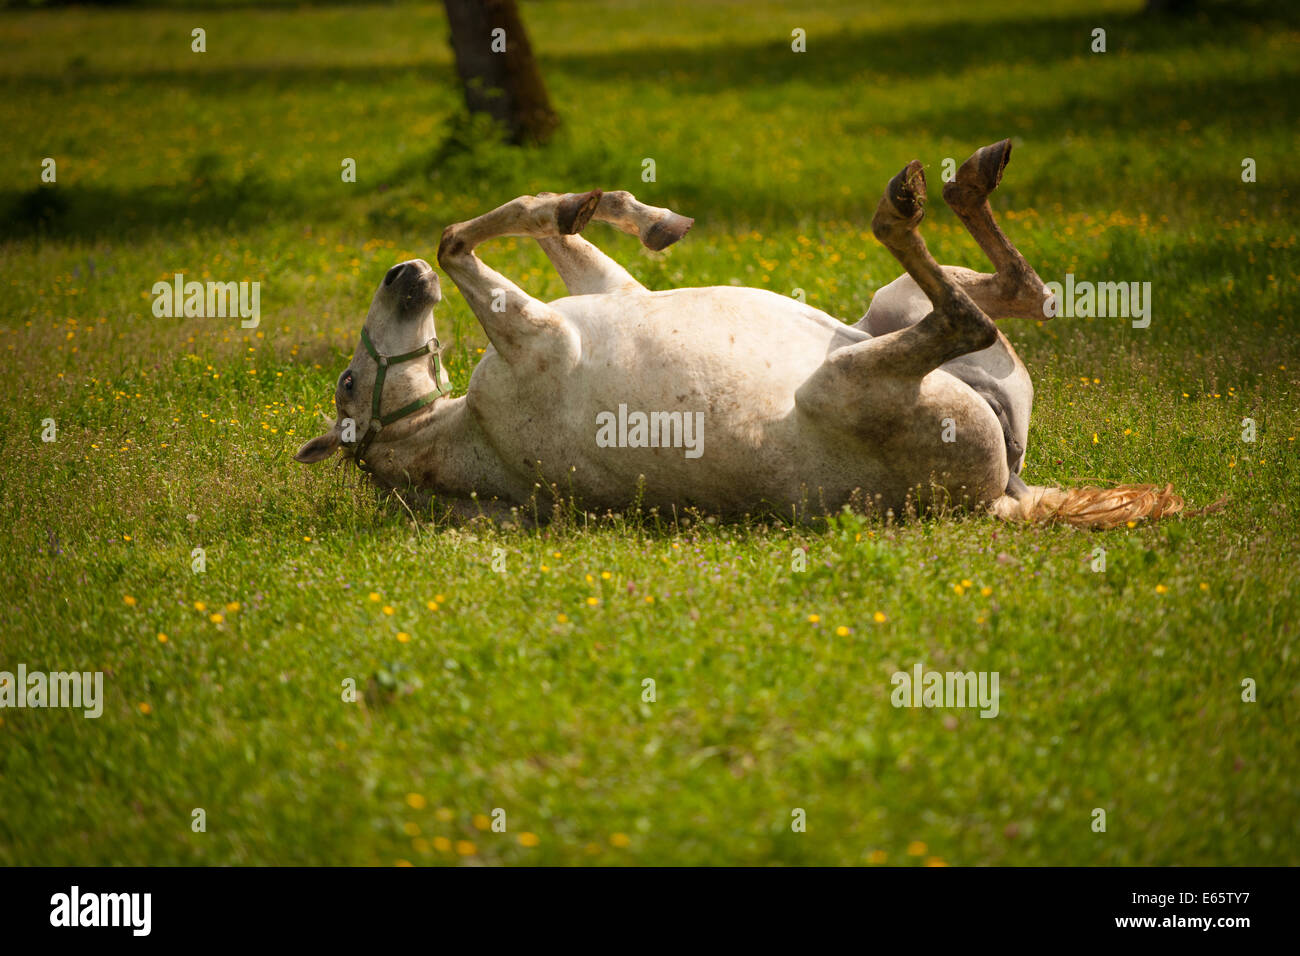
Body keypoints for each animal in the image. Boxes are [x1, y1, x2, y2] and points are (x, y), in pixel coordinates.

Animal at [297, 143, 1190, 530]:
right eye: (349, 383)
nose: (400, 275)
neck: (463, 433)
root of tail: (1008, 495)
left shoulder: (601, 296)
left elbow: (542, 219)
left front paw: (637, 214)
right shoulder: (533, 332)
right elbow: (463, 237)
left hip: (888, 307)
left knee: (1020, 293)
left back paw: (967, 178)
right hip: (854, 376)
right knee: (974, 310)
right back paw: (913, 198)